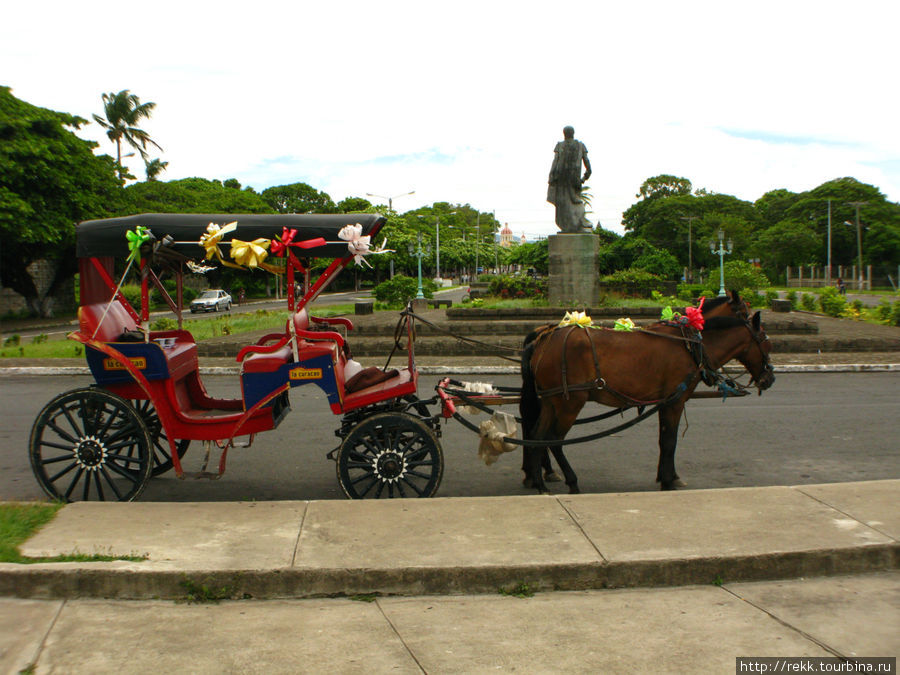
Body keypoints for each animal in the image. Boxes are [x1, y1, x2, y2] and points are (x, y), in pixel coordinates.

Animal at [520, 292, 772, 496]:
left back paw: (540, 483)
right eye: (766, 343)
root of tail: (544, 340)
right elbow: (670, 441)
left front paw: (667, 477)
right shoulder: (675, 401)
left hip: (551, 401)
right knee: (555, 440)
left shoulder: (665, 401)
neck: (690, 343)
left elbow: (663, 439)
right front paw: (669, 481)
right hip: (570, 403)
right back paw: (571, 481)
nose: (769, 378)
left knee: (537, 436)